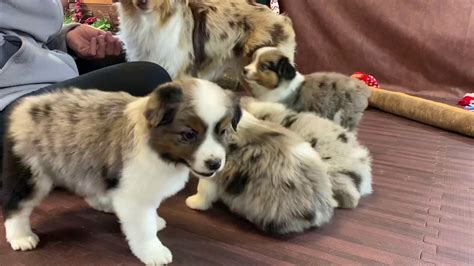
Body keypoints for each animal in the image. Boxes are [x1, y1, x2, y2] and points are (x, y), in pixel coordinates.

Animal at [1, 78, 241, 264]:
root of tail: (23, 106)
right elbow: (143, 228)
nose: (215, 163)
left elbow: (149, 213)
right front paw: (153, 252)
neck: (157, 147)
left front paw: (155, 221)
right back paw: (21, 237)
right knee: (17, 207)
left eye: (223, 131)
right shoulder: (134, 194)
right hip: (31, 173)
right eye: (189, 134)